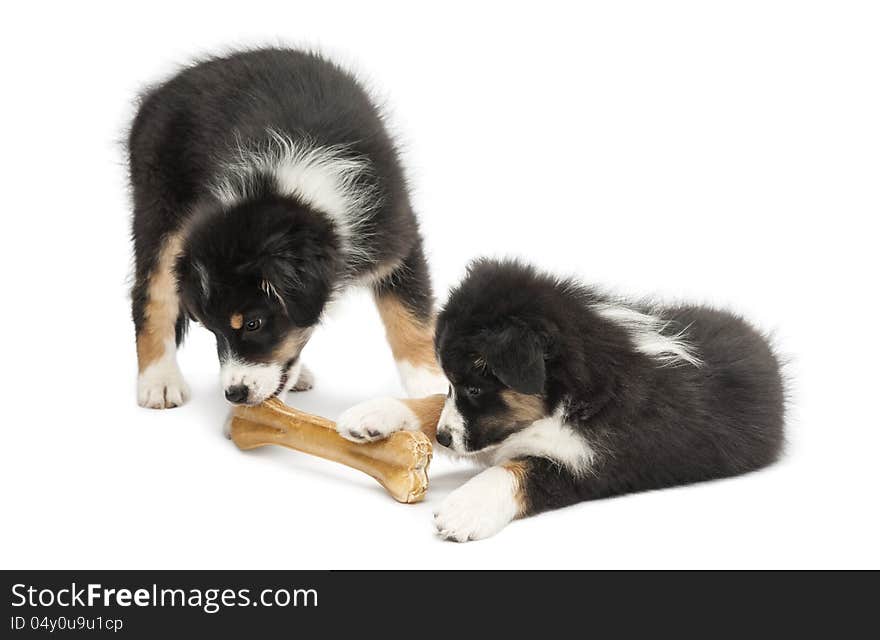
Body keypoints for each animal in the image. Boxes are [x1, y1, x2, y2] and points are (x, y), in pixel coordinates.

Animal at [126, 48, 444, 410]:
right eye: (212, 330)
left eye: (253, 324)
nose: (234, 394)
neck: (288, 187)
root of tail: (159, 90)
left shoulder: (396, 239)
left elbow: (412, 318)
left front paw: (432, 387)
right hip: (160, 211)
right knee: (151, 295)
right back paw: (159, 381)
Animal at [336, 258, 784, 540]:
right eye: (452, 382)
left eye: (476, 388)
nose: (444, 439)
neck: (572, 397)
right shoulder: (496, 431)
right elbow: (434, 407)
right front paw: (376, 414)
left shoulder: (588, 463)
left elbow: (518, 471)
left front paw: (464, 509)